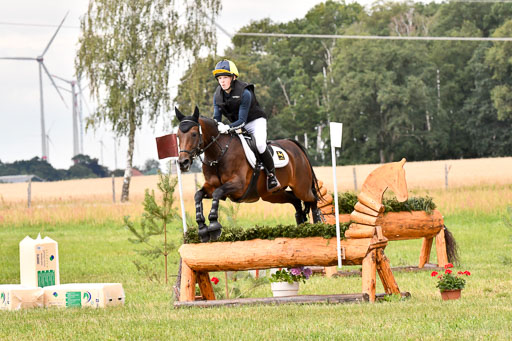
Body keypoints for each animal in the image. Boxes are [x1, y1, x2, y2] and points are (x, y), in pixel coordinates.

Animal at [175, 106, 320, 242]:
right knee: (296, 201)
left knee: (313, 199)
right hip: (272, 194)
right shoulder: (211, 186)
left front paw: (214, 226)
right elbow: (198, 195)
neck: (219, 154)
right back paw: (302, 226)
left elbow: (217, 193)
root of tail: (294, 145)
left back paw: (319, 226)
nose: (183, 163)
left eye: (194, 134)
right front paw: (202, 228)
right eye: (177, 136)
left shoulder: (239, 185)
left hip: (301, 188)